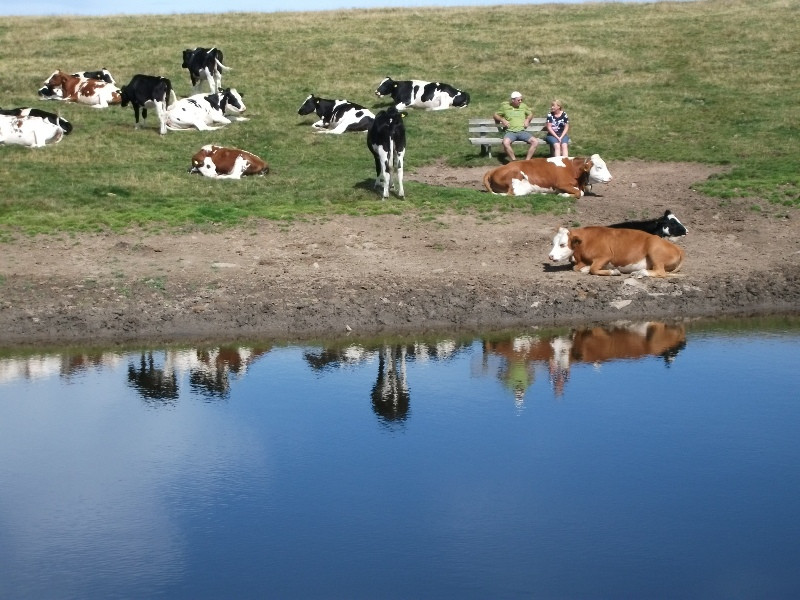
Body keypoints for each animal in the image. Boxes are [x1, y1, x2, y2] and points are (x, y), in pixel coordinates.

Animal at [482, 154, 612, 198]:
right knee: (509, 194)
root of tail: (494, 169)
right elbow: (579, 193)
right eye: (599, 167)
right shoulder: (561, 184)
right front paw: (563, 195)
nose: (611, 178)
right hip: (517, 185)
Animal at [552, 226, 688, 278]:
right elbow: (581, 268)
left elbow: (593, 269)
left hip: (654, 249)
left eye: (562, 244)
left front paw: (614, 272)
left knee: (660, 272)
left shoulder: (605, 256)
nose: (550, 256)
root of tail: (678, 248)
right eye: (552, 243)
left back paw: (641, 272)